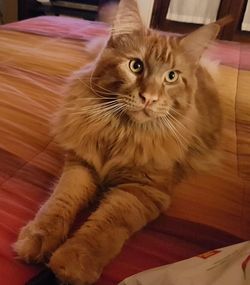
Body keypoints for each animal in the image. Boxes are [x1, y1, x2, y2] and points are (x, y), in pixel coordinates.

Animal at [14, 0, 223, 284]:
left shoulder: (142, 190)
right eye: (136, 66)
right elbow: (59, 202)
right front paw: (39, 235)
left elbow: (104, 225)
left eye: (171, 77)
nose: (149, 98)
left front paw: (74, 261)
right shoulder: (82, 166)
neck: (121, 131)